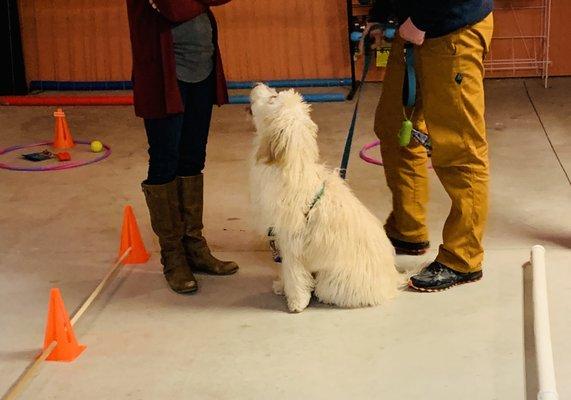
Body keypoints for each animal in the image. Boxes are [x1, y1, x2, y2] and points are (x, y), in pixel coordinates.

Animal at [249, 84, 402, 312]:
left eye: (273, 98)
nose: (256, 85)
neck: (294, 166)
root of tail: (393, 283)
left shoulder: (291, 243)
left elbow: (293, 274)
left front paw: (296, 302)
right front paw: (281, 287)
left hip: (331, 282)